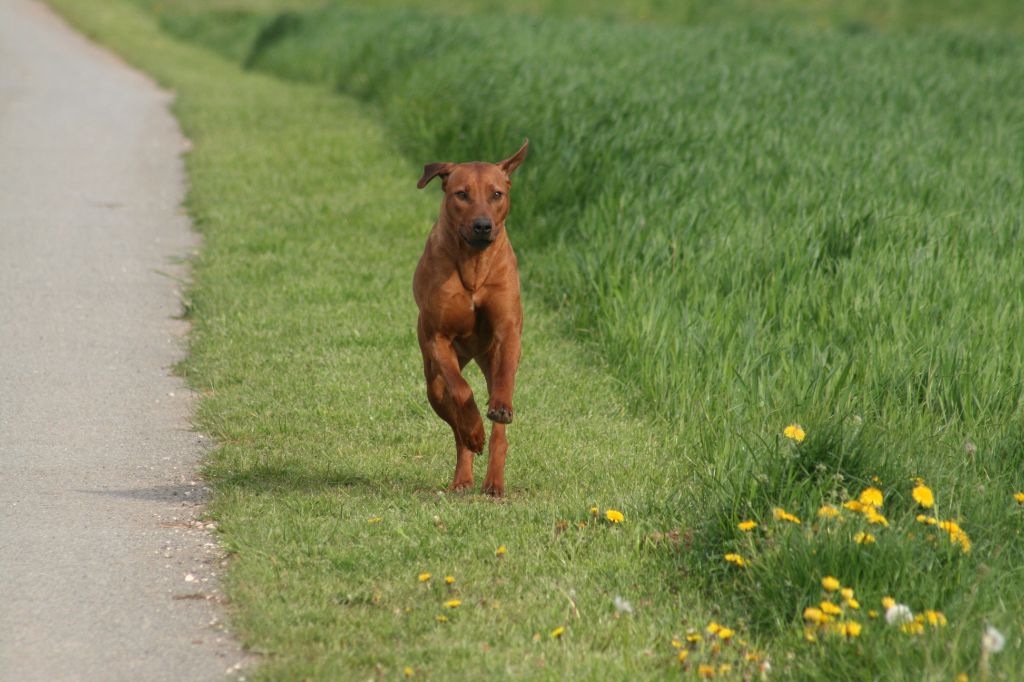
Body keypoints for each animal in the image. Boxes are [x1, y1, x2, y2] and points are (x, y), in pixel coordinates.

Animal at [413, 139, 532, 493]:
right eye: (461, 194)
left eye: (497, 194)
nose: (482, 226)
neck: (474, 266)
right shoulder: (437, 338)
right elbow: (462, 391)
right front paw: (474, 430)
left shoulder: (508, 331)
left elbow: (503, 383)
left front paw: (501, 408)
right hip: (433, 382)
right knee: (455, 421)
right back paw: (466, 464)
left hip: (489, 356)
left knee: (500, 434)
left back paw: (494, 482)